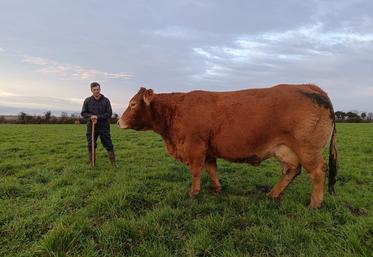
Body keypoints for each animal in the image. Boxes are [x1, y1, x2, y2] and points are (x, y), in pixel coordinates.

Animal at [117, 84, 336, 208]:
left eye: (133, 104)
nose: (118, 122)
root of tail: (310, 86)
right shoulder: (208, 151)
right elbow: (212, 170)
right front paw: (216, 189)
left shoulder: (195, 148)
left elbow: (196, 171)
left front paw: (193, 193)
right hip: (285, 149)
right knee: (292, 170)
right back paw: (273, 194)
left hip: (308, 149)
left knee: (317, 172)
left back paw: (314, 203)